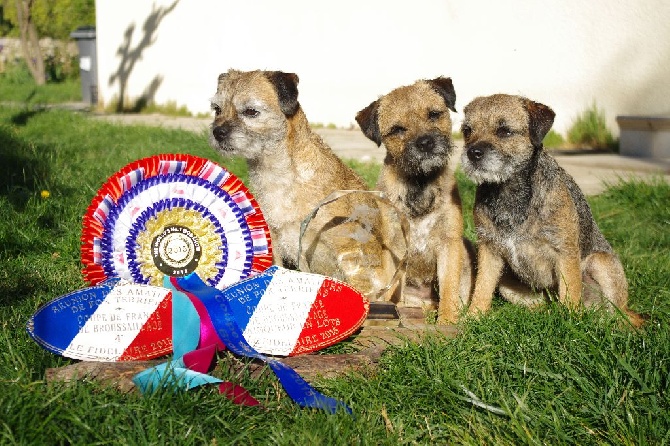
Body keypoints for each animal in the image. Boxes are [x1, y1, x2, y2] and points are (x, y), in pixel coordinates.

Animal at [207, 69, 392, 296]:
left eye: (251, 111)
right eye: (217, 109)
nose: (217, 132)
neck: (280, 174)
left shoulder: (347, 248)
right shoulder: (275, 242)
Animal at [360, 77, 476, 324]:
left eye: (433, 114)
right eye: (397, 129)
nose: (425, 142)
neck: (419, 184)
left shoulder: (449, 243)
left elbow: (449, 288)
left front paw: (447, 322)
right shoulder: (394, 248)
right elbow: (393, 289)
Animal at [460, 94, 644, 326]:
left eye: (504, 131)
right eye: (467, 130)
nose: (472, 152)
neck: (508, 192)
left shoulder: (565, 252)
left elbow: (570, 291)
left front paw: (570, 322)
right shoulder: (489, 249)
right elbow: (482, 287)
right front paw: (473, 316)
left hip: (601, 263)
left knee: (617, 314)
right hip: (508, 284)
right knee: (541, 306)